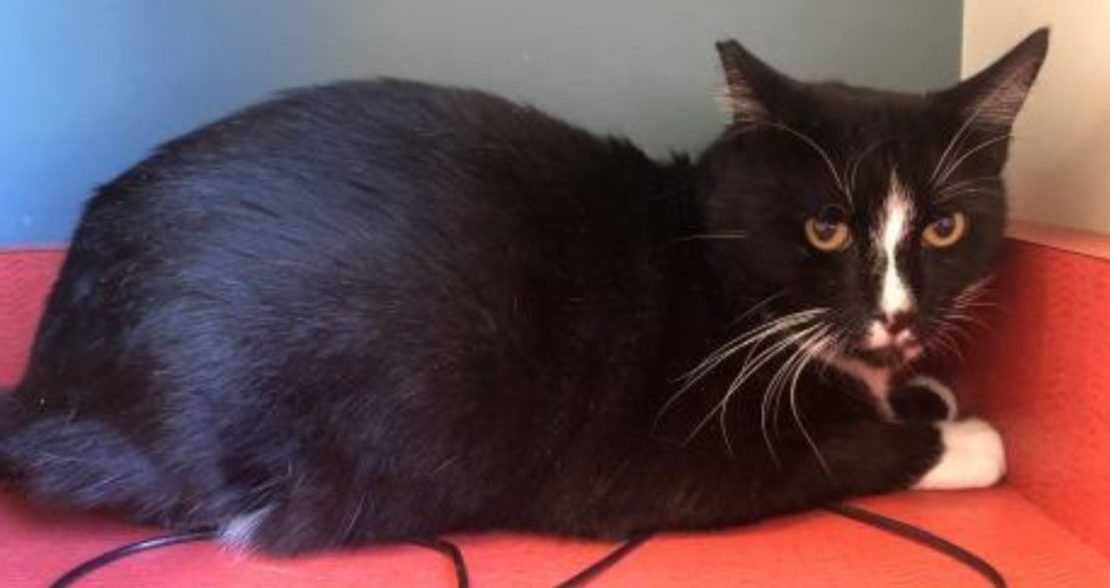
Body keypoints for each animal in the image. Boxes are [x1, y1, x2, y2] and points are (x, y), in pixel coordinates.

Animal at [0, 27, 1043, 552]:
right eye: (827, 227)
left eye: (945, 228)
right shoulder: (652, 459)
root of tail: (47, 384)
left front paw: (919, 388)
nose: (900, 316)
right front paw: (962, 436)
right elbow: (837, 454)